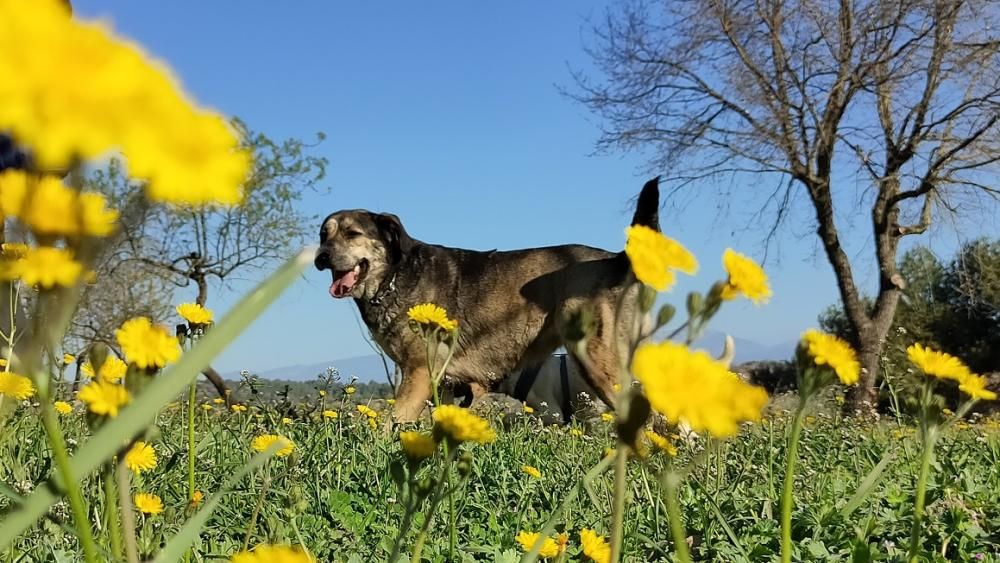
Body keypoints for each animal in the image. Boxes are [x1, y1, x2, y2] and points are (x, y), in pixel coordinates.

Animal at [312, 178, 656, 420]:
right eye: (323, 235)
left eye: (353, 234)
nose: (321, 257)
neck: (395, 275)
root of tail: (616, 260)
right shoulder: (443, 386)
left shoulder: (420, 372)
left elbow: (392, 424)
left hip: (598, 362)